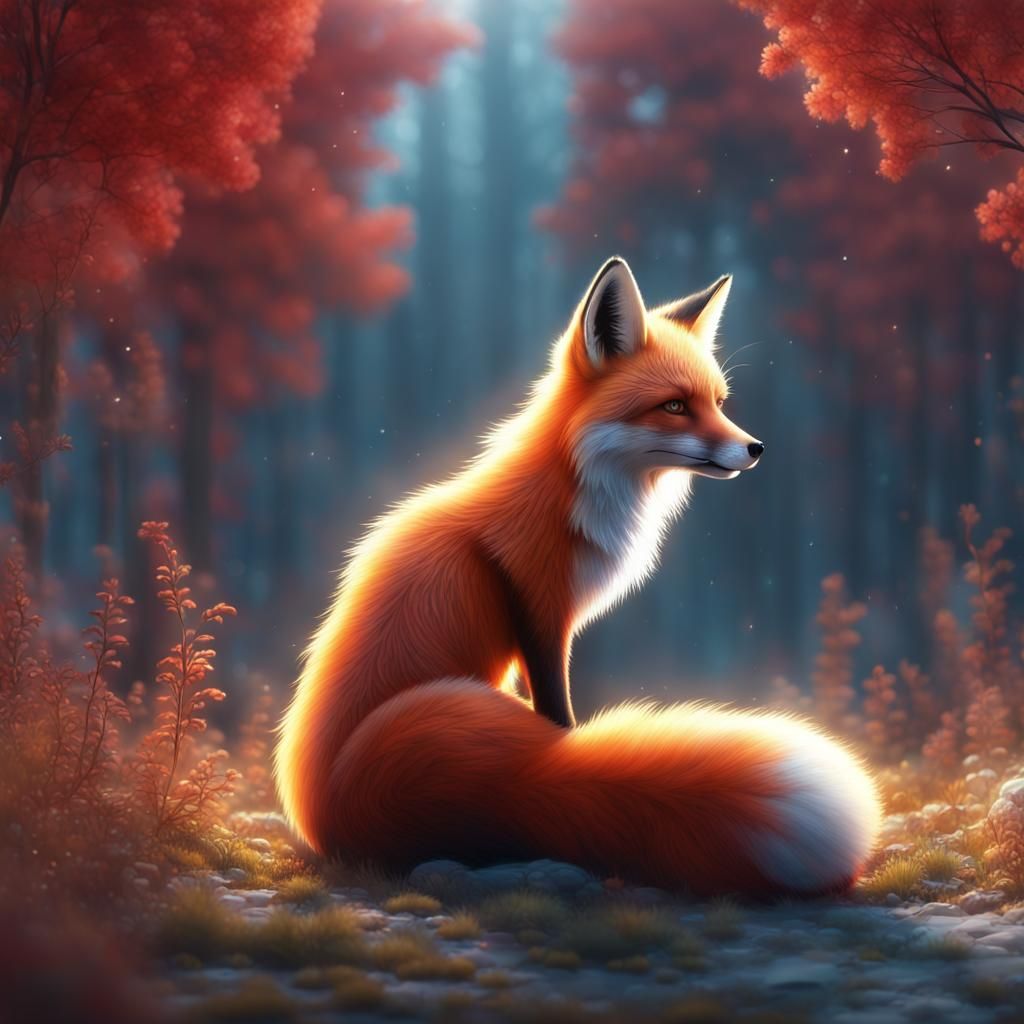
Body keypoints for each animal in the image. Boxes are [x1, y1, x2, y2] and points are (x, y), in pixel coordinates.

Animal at [275, 257, 881, 896]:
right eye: (674, 406)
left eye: (718, 401)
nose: (756, 448)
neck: (572, 490)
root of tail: (319, 816)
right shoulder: (541, 611)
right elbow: (559, 710)